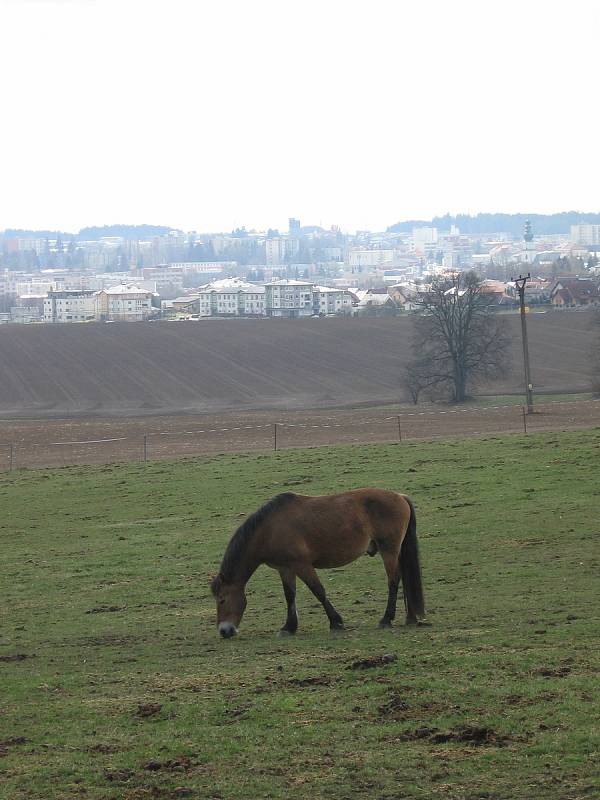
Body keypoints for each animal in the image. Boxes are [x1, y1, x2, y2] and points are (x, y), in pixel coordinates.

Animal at [211, 488, 426, 636]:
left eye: (222, 599)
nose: (224, 631)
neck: (270, 529)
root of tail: (400, 497)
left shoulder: (302, 565)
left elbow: (318, 591)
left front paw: (336, 622)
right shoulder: (285, 569)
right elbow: (290, 596)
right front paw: (289, 627)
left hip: (389, 550)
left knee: (394, 580)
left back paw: (386, 619)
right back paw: (410, 617)